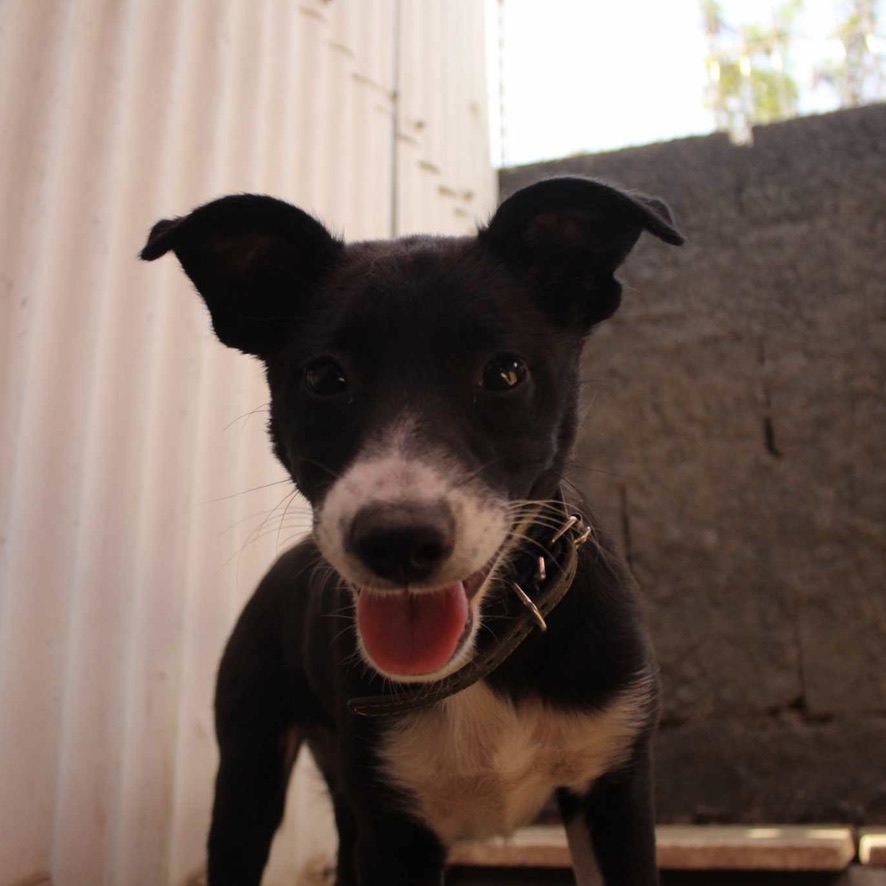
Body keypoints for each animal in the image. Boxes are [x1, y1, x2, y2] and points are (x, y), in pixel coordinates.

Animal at [142, 177, 684, 884]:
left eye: (506, 373)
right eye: (324, 377)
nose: (396, 541)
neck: (485, 659)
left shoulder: (616, 789)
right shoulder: (393, 828)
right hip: (249, 772)